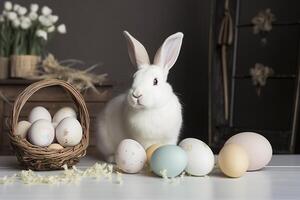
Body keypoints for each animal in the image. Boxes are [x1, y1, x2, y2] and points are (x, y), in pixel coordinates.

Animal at [97, 30, 184, 162]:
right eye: (134, 78)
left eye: (155, 81)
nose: (136, 95)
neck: (152, 109)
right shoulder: (142, 140)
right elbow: (146, 151)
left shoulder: (171, 138)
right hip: (104, 140)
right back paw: (112, 159)